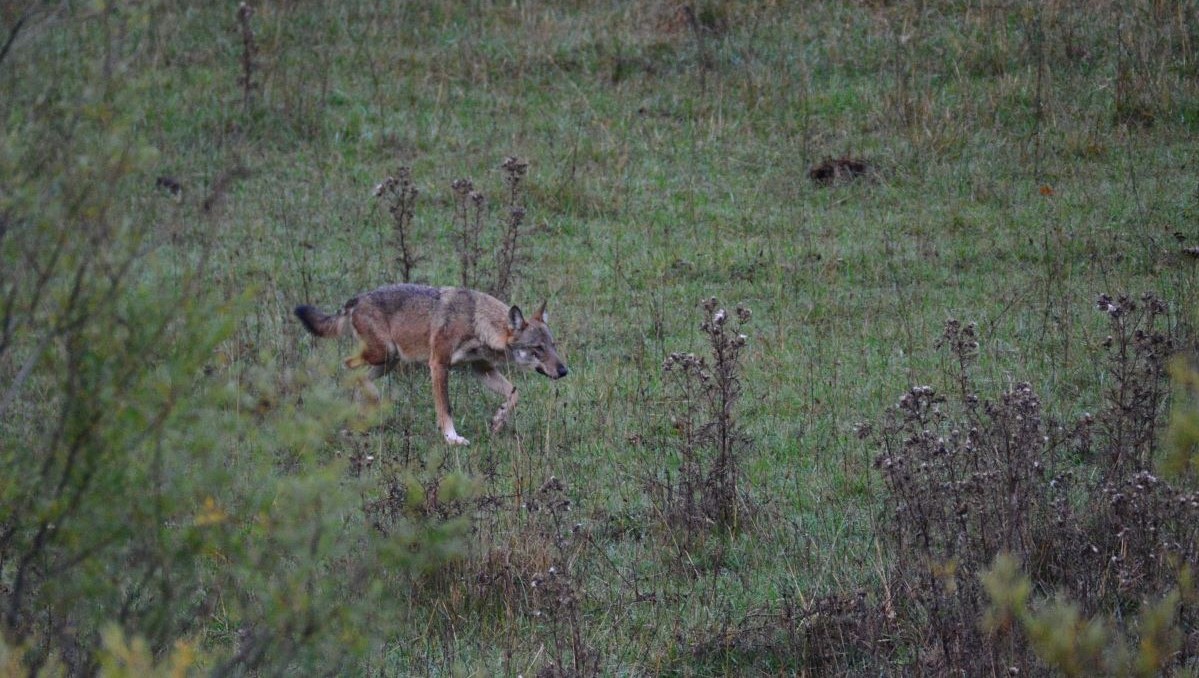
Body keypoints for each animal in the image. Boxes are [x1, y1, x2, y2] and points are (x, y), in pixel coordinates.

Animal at [295, 284, 567, 445]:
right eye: (538, 349)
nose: (565, 371)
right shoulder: (438, 364)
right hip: (383, 354)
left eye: (553, 345)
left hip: (389, 361)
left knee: (358, 378)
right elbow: (445, 408)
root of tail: (356, 299)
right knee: (347, 366)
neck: (476, 321)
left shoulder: (481, 369)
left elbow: (514, 393)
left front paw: (498, 420)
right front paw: (452, 438)